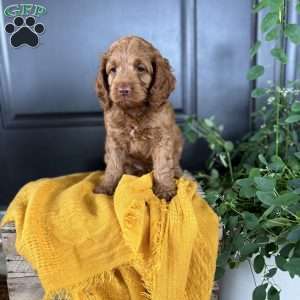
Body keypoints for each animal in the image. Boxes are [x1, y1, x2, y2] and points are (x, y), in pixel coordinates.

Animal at [94, 37, 183, 202]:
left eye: (140, 68)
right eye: (113, 69)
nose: (123, 90)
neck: (133, 111)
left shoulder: (162, 138)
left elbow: (162, 165)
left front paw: (165, 189)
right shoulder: (114, 139)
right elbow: (113, 166)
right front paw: (106, 186)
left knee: (174, 163)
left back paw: (177, 173)